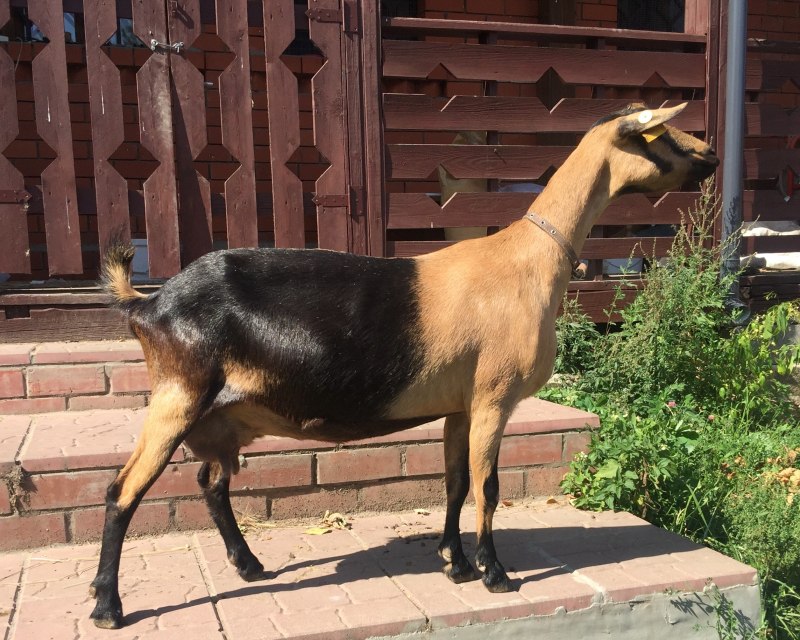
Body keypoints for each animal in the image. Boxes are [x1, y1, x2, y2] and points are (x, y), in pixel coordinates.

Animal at [90, 103, 718, 628]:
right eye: (663, 134)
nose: (711, 155)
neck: (529, 259)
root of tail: (146, 303)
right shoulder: (494, 397)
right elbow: (489, 486)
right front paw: (493, 574)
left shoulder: (461, 406)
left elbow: (456, 482)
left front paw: (454, 563)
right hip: (178, 396)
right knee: (123, 490)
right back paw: (107, 606)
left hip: (220, 418)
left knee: (211, 484)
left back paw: (249, 566)